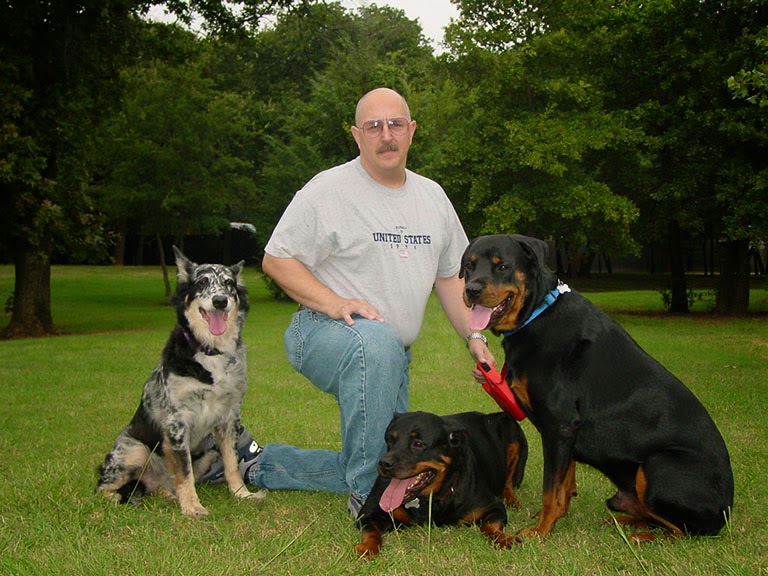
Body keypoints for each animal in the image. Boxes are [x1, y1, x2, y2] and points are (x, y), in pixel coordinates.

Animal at [96, 246, 265, 516]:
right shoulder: (177, 423)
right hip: (136, 450)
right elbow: (185, 473)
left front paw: (242, 494)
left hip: (208, 451)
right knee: (102, 486)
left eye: (228, 283)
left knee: (167, 484)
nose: (220, 300)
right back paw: (116, 497)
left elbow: (231, 465)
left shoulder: (229, 419)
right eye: (202, 282)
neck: (211, 351)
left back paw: (168, 494)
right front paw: (192, 507)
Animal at [355, 411, 527, 558]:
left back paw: (511, 499)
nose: (384, 464)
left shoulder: (493, 506)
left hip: (512, 432)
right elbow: (371, 531)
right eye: (389, 440)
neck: (430, 498)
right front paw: (368, 547)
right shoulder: (369, 513)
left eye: (418, 444)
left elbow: (489, 525)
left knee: (509, 482)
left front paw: (504, 538)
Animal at [460, 234, 734, 542]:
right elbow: (564, 484)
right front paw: (553, 519)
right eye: (469, 266)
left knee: (685, 530)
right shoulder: (564, 432)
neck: (537, 313)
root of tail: (725, 511)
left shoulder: (560, 425)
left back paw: (642, 536)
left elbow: (550, 490)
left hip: (658, 465)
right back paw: (625, 522)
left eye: (503, 265)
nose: (471, 290)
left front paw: (541, 530)